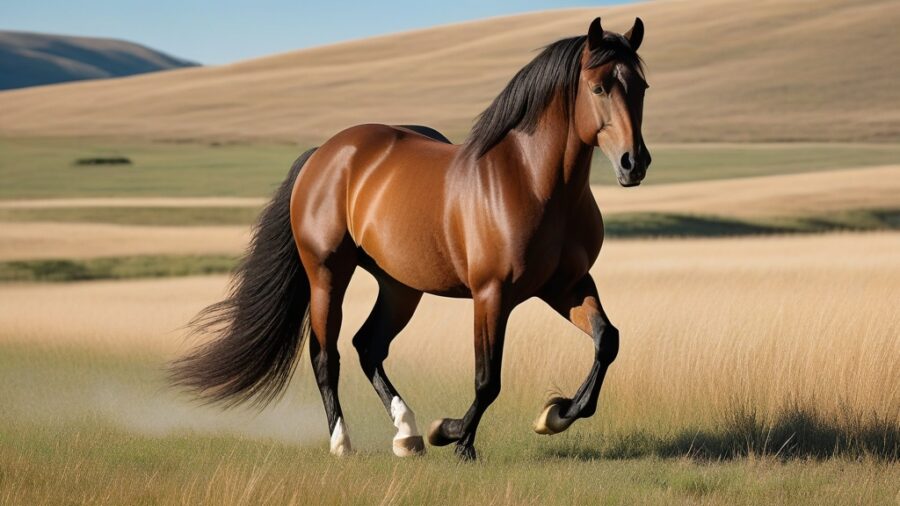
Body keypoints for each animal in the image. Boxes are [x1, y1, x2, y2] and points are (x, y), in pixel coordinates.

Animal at [171, 16, 650, 460]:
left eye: (641, 86)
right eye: (598, 87)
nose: (635, 163)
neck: (531, 181)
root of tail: (326, 153)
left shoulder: (565, 286)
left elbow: (607, 340)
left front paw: (555, 414)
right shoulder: (492, 294)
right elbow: (487, 379)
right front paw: (455, 437)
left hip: (400, 286)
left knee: (368, 346)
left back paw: (407, 433)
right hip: (327, 275)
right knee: (327, 356)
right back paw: (344, 442)